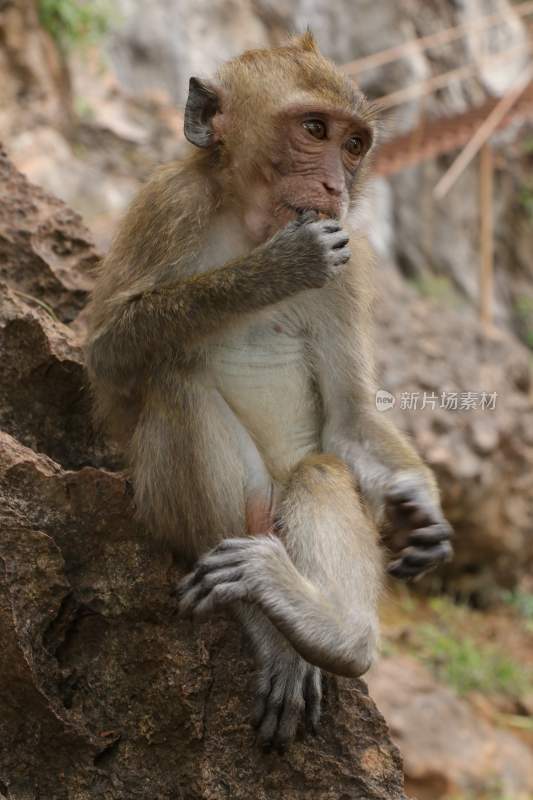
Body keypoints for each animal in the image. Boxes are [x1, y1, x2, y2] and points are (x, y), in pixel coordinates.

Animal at [85, 32, 450, 752]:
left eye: (354, 144)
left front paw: (418, 506)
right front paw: (275, 269)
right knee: (174, 384)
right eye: (313, 131)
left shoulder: (351, 265)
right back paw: (264, 622)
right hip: (202, 510)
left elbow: (348, 420)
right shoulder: (169, 205)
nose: (334, 185)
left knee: (320, 471)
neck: (247, 223)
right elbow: (108, 351)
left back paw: (330, 633)